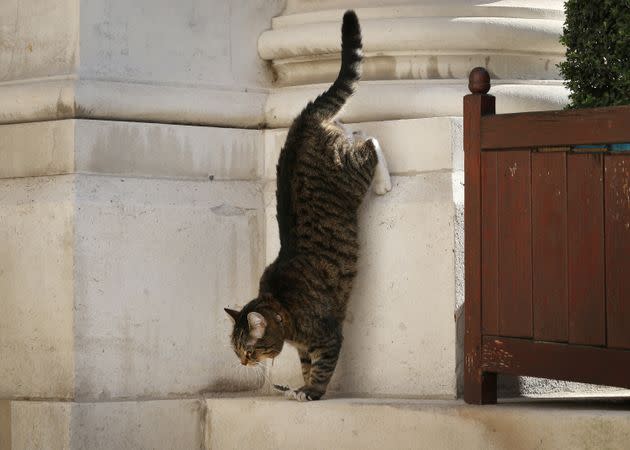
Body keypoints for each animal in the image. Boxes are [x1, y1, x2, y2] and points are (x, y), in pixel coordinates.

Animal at [225, 9, 392, 400]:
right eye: (237, 351)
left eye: (249, 349)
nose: (243, 363)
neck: (285, 310)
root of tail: (304, 119)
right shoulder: (304, 347)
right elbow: (305, 364)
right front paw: (300, 385)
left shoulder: (327, 335)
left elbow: (322, 367)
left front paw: (311, 392)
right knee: (355, 132)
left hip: (351, 173)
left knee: (371, 142)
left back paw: (384, 182)